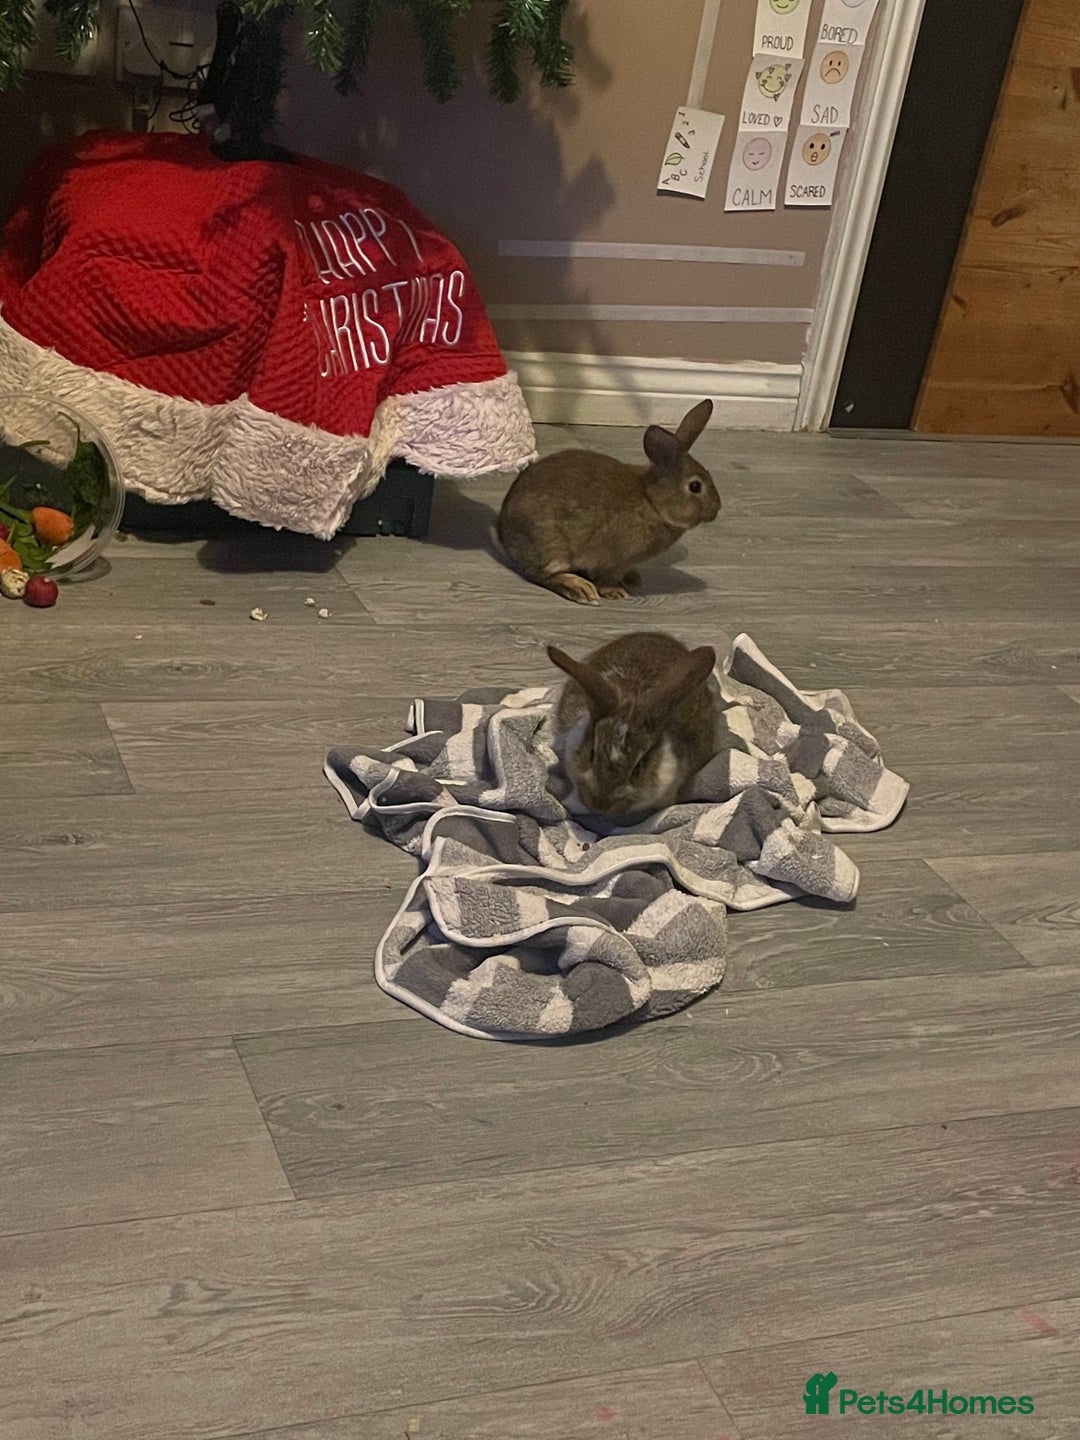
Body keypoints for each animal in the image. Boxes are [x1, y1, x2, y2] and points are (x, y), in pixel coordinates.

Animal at [495, 399, 721, 604]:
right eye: (695, 486)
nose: (716, 509)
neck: (651, 501)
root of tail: (504, 533)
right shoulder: (614, 561)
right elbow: (606, 578)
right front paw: (615, 592)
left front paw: (632, 578)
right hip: (549, 544)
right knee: (543, 575)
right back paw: (581, 589)